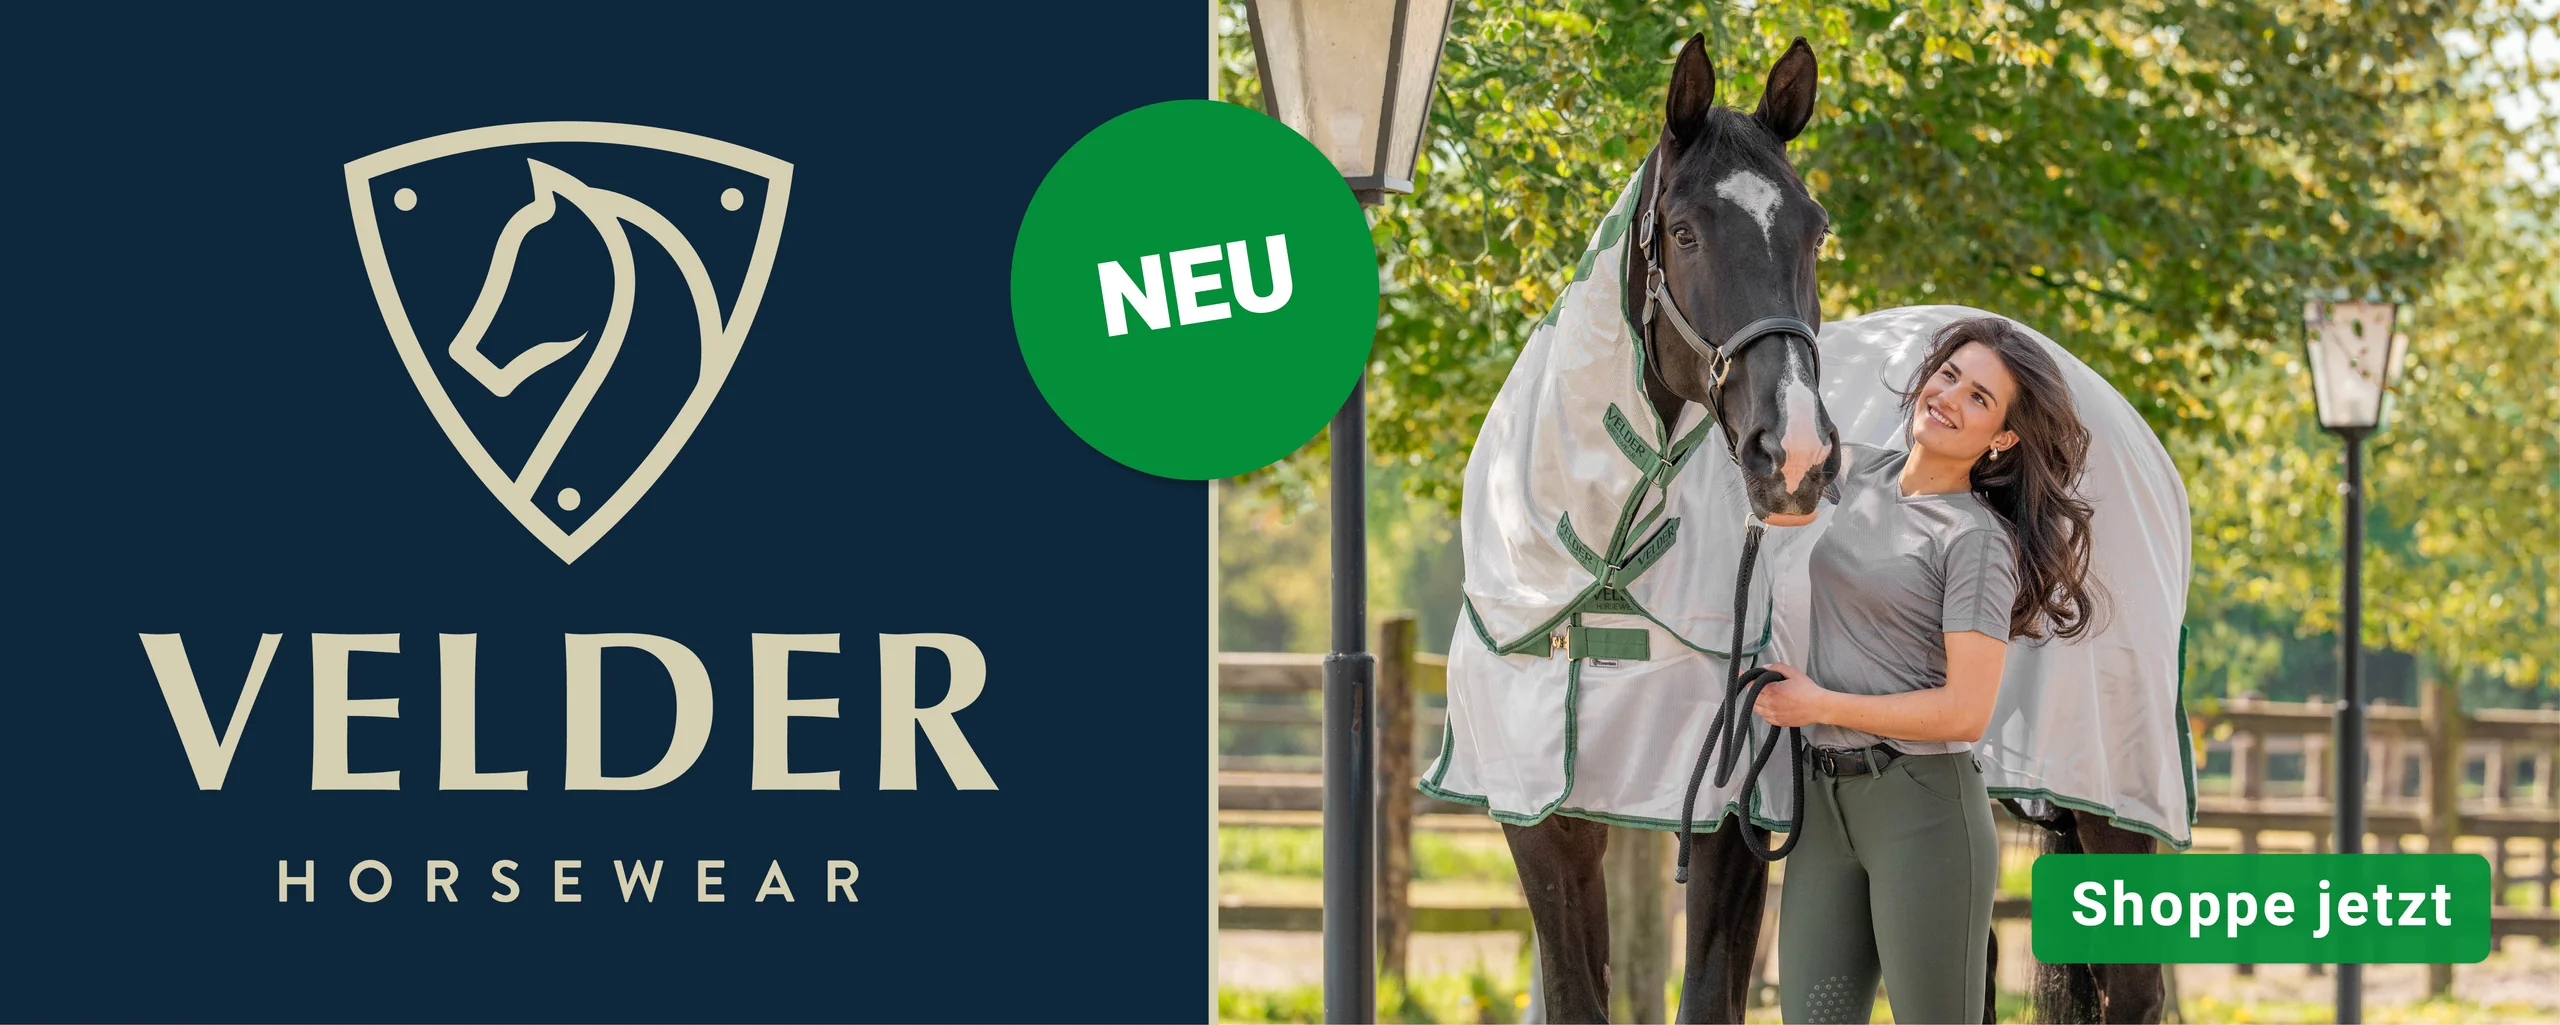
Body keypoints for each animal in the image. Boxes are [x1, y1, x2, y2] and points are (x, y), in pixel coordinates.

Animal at [1421, 34, 2189, 1024]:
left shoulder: (1732, 815)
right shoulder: (1540, 821)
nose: (1793, 455)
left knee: (2130, 984)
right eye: (1683, 230)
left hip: (2109, 789)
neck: (1599, 566)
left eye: (1815, 230)